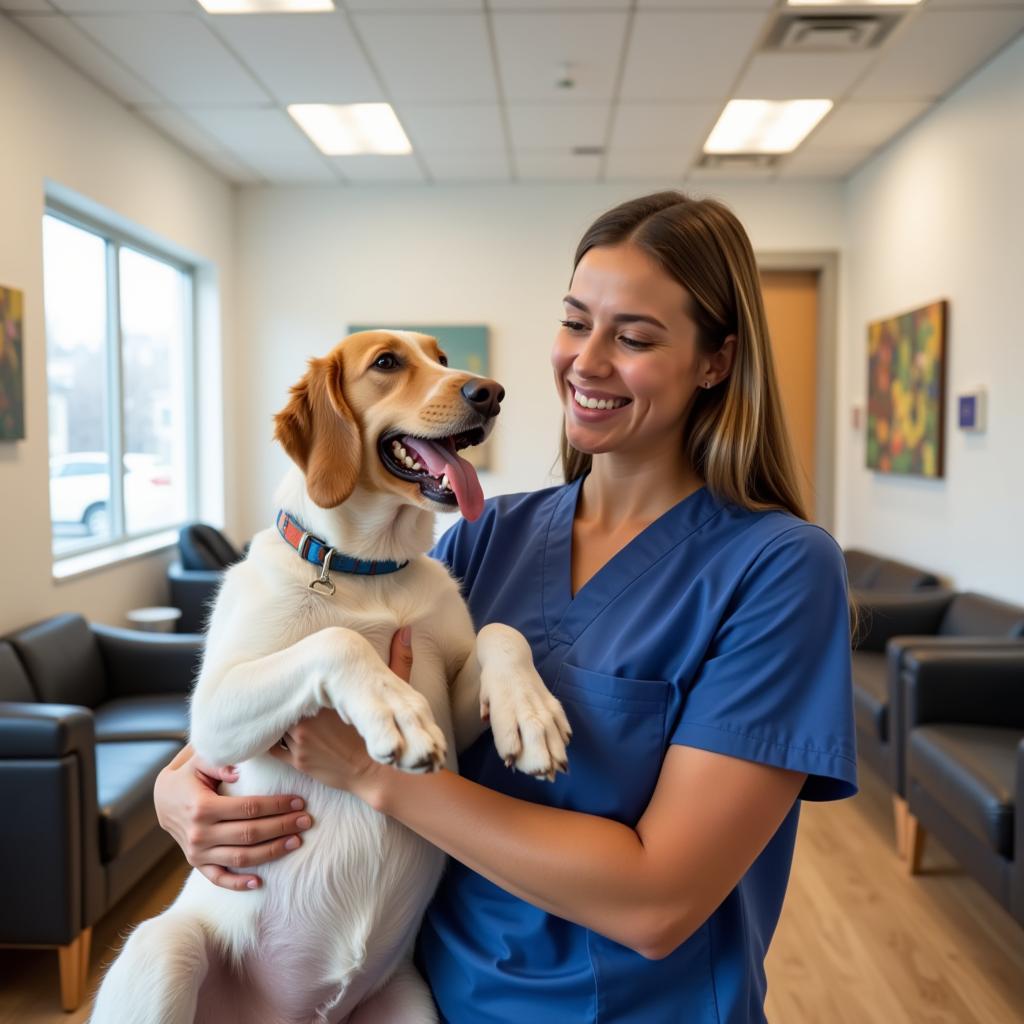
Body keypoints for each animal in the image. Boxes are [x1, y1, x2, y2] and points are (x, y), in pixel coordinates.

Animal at [91, 331, 573, 1019]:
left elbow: (500, 633)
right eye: (387, 363)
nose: (491, 393)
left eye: (442, 358)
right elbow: (337, 639)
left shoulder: (454, 704)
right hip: (165, 949)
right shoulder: (214, 713)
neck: (367, 569)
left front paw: (531, 719)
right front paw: (395, 711)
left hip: (409, 1001)